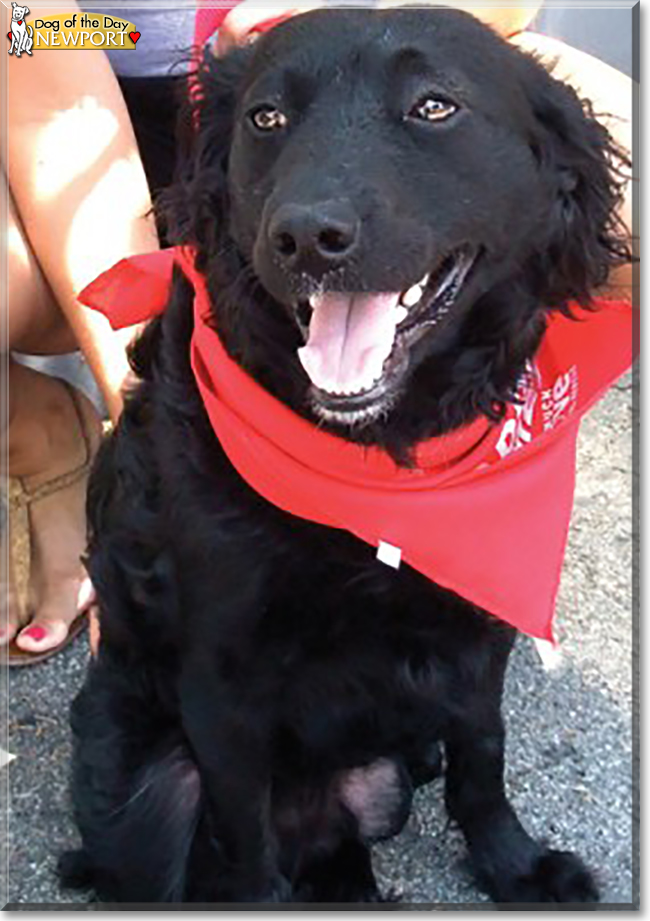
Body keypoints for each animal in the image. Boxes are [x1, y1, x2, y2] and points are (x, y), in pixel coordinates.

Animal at [60, 9, 628, 904]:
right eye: (266, 118)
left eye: (434, 107)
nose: (305, 237)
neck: (378, 462)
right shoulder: (223, 678)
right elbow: (249, 857)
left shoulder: (480, 628)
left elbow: (483, 755)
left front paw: (514, 863)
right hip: (143, 799)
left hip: (385, 779)